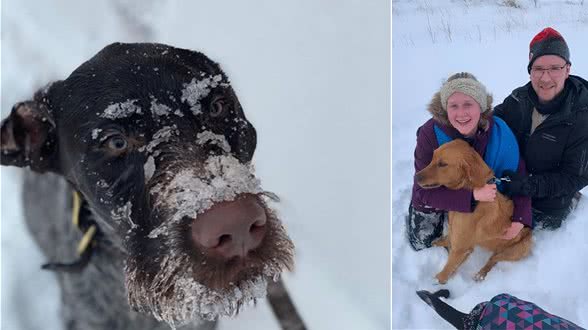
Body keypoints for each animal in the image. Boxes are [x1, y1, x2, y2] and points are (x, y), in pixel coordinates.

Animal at [414, 139, 532, 284]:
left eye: (442, 164)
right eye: (433, 157)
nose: (416, 177)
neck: (474, 199)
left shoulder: (461, 249)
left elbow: (447, 270)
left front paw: (435, 282)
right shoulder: (457, 237)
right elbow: (449, 239)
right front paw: (437, 242)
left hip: (520, 248)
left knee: (493, 259)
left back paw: (481, 273)